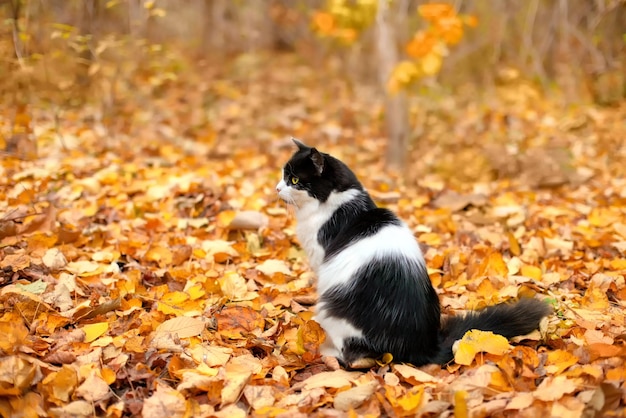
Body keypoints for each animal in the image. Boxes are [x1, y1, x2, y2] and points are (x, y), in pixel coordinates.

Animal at [276, 139, 548, 368]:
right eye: (283, 175)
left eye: (295, 180)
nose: (277, 188)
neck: (342, 203)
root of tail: (422, 348)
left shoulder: (321, 258)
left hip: (332, 310)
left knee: (356, 356)